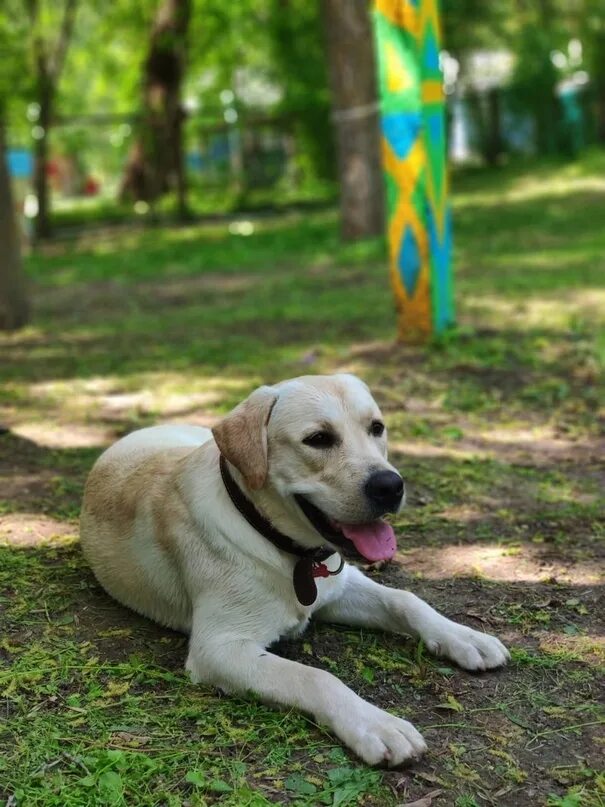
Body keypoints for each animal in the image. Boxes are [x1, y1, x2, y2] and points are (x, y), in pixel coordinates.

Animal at [79, 372, 504, 764]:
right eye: (318, 439)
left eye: (376, 428)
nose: (390, 486)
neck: (281, 544)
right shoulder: (219, 648)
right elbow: (315, 677)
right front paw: (376, 724)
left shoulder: (339, 587)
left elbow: (405, 600)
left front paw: (464, 636)